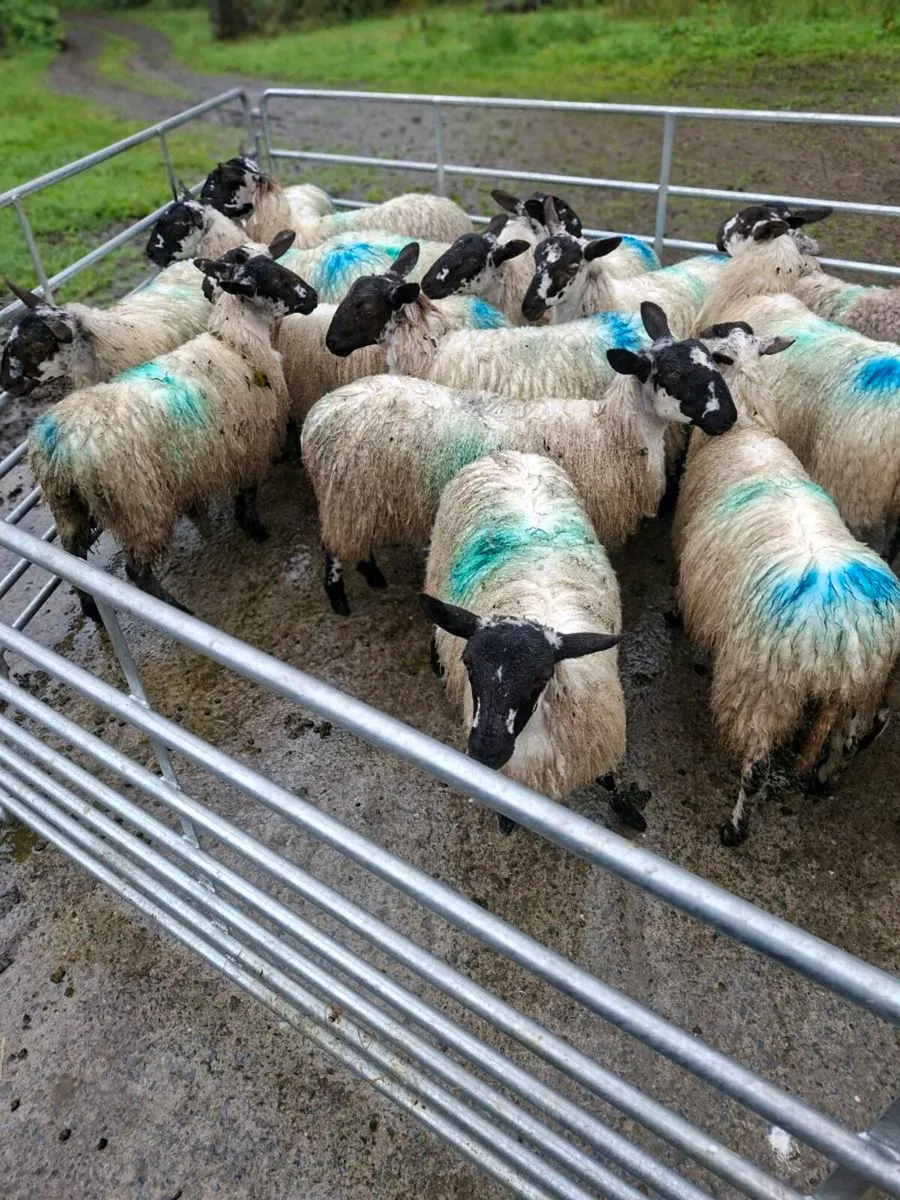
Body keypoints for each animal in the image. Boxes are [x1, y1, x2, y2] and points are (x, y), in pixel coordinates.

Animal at [28, 237, 318, 618]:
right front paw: (255, 530)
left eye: (275, 261)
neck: (236, 343)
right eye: (273, 279)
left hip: (68, 510)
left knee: (73, 561)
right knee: (136, 572)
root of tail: (60, 452)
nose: (313, 297)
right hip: (140, 507)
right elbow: (248, 495)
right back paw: (174, 609)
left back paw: (92, 609)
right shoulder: (250, 445)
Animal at [303, 302, 736, 614]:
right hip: (344, 494)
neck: (609, 434)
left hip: (362, 497)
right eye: (675, 378)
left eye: (712, 362)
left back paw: (373, 573)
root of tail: (321, 411)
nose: (728, 417)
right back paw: (339, 599)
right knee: (333, 546)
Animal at [675, 321, 900, 846]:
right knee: (848, 738)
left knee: (757, 764)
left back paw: (734, 829)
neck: (748, 428)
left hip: (765, 687)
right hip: (861, 689)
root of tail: (847, 641)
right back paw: (824, 778)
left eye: (708, 351)